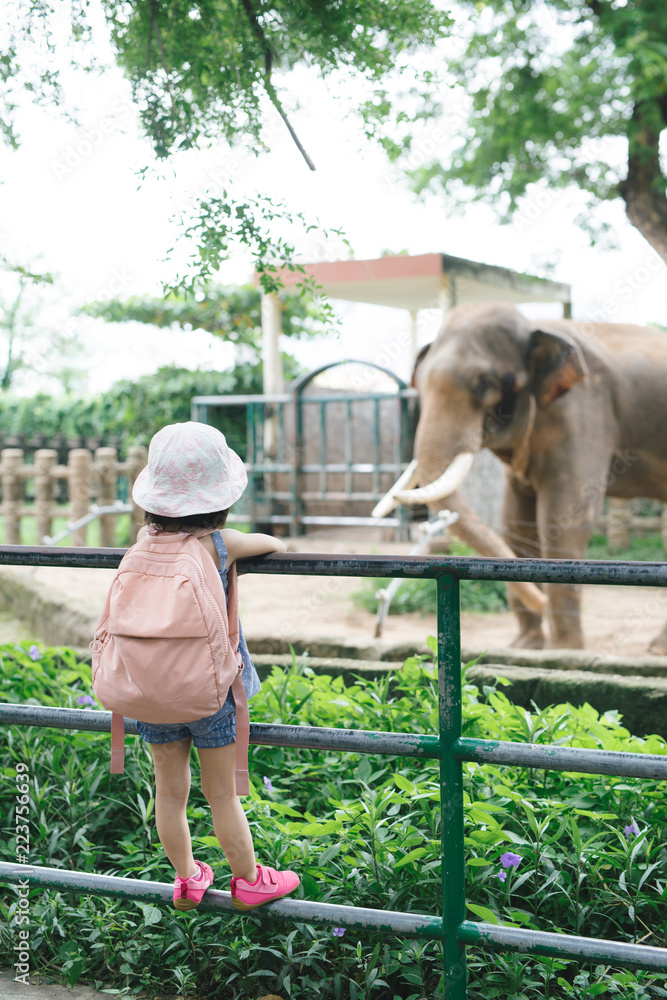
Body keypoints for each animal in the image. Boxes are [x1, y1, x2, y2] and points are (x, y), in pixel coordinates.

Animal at [376, 300, 667, 652]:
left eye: (484, 383)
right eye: (421, 383)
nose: (541, 602)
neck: (534, 327)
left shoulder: (584, 408)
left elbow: (563, 515)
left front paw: (565, 652)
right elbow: (516, 520)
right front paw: (525, 647)